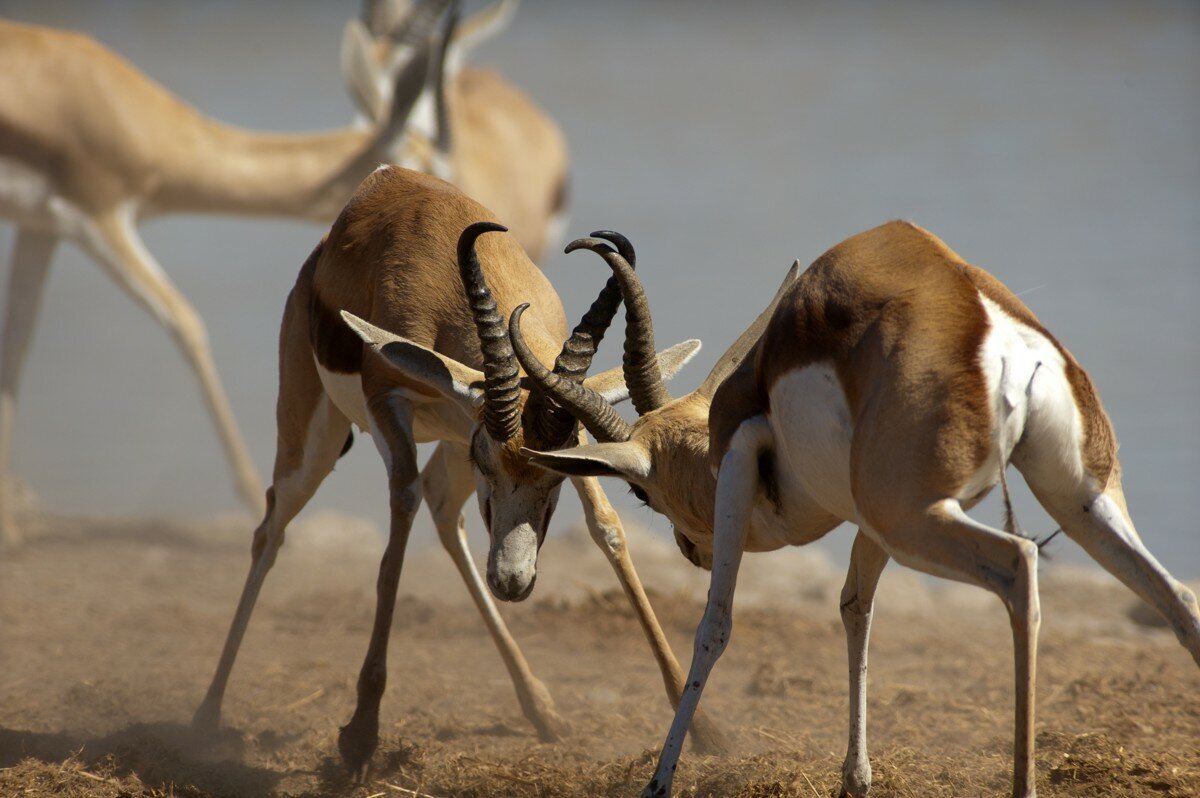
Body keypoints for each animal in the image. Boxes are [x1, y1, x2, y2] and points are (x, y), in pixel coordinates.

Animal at [189, 164, 720, 772]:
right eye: (487, 459)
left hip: (446, 436)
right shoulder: (390, 404)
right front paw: (360, 733)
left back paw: (541, 708)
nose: (513, 582)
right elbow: (399, 517)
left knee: (443, 512)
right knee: (273, 527)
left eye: (556, 475)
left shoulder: (568, 424)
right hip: (316, 441)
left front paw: (706, 730)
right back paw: (206, 717)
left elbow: (606, 526)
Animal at [516, 222, 1200, 796]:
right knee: (1175, 596)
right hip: (1077, 499)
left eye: (641, 492)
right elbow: (854, 608)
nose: (691, 549)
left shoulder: (739, 462)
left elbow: (715, 625)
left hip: (917, 521)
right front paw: (855, 777)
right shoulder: (866, 525)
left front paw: (659, 781)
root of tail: (997, 337)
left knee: (1019, 566)